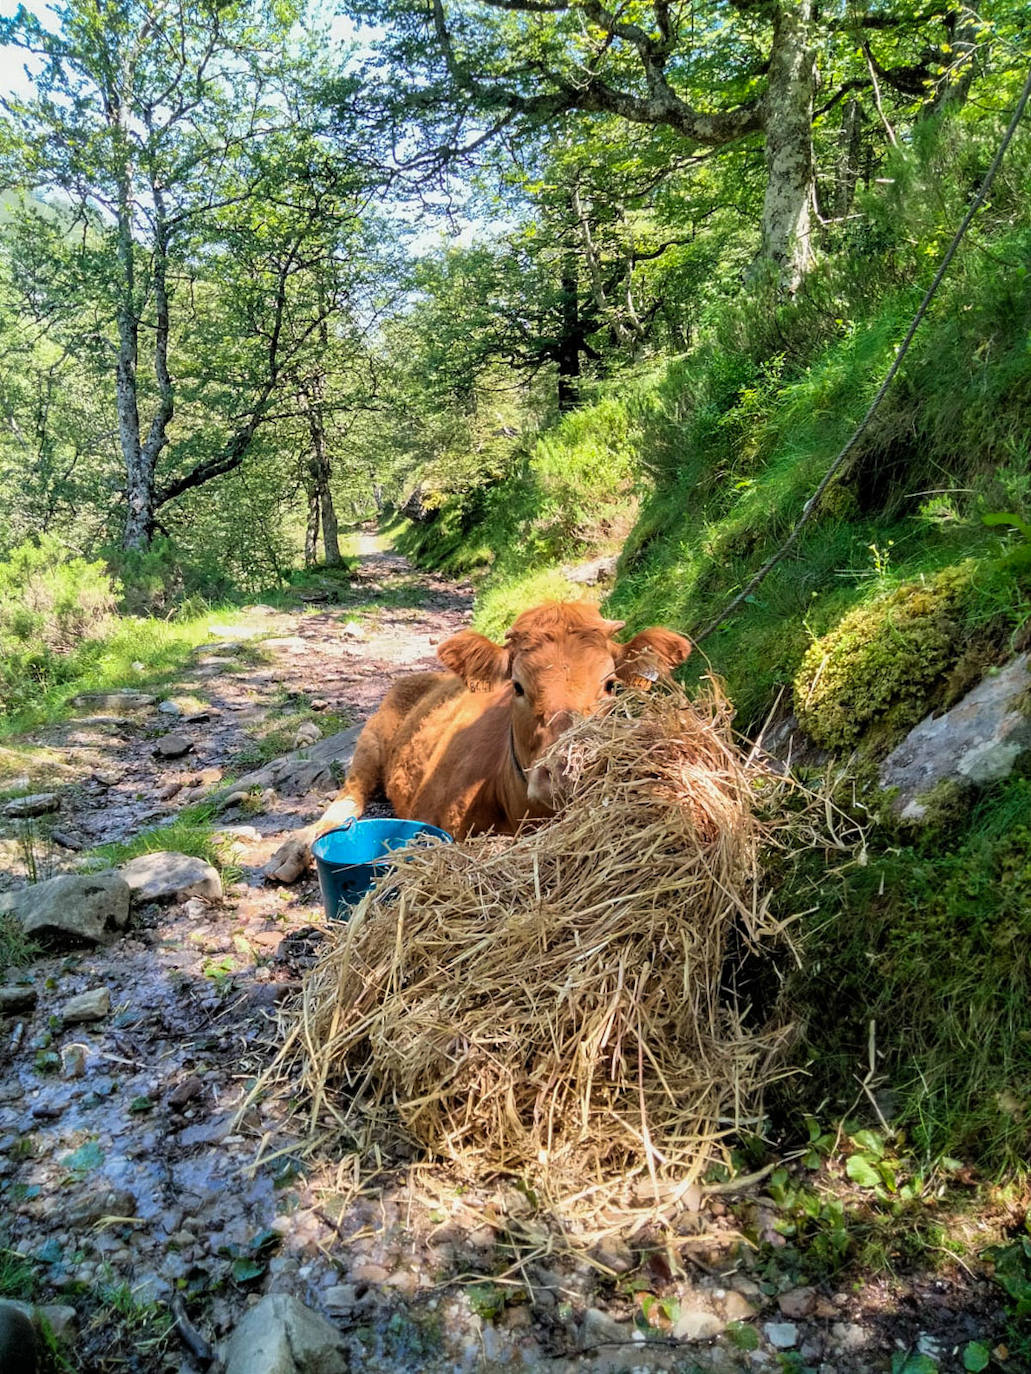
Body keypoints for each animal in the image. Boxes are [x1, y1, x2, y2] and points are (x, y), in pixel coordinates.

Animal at [262, 601, 690, 879]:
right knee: (347, 799)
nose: (565, 774)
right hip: (372, 739)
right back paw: (292, 852)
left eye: (610, 685)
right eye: (517, 685)